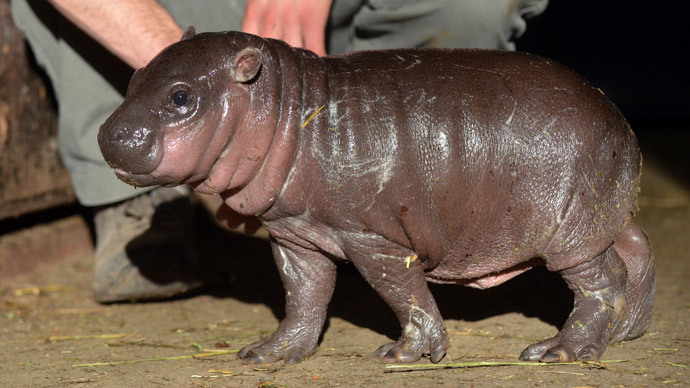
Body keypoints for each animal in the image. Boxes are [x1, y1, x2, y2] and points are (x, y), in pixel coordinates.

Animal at [97, 28, 652, 366]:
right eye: (134, 76)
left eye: (181, 97)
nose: (110, 135)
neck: (284, 105)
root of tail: (616, 116)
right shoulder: (294, 235)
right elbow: (303, 296)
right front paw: (269, 353)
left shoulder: (372, 237)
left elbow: (402, 293)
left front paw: (404, 355)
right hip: (605, 211)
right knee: (638, 251)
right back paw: (626, 333)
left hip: (570, 229)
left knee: (604, 280)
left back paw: (557, 351)